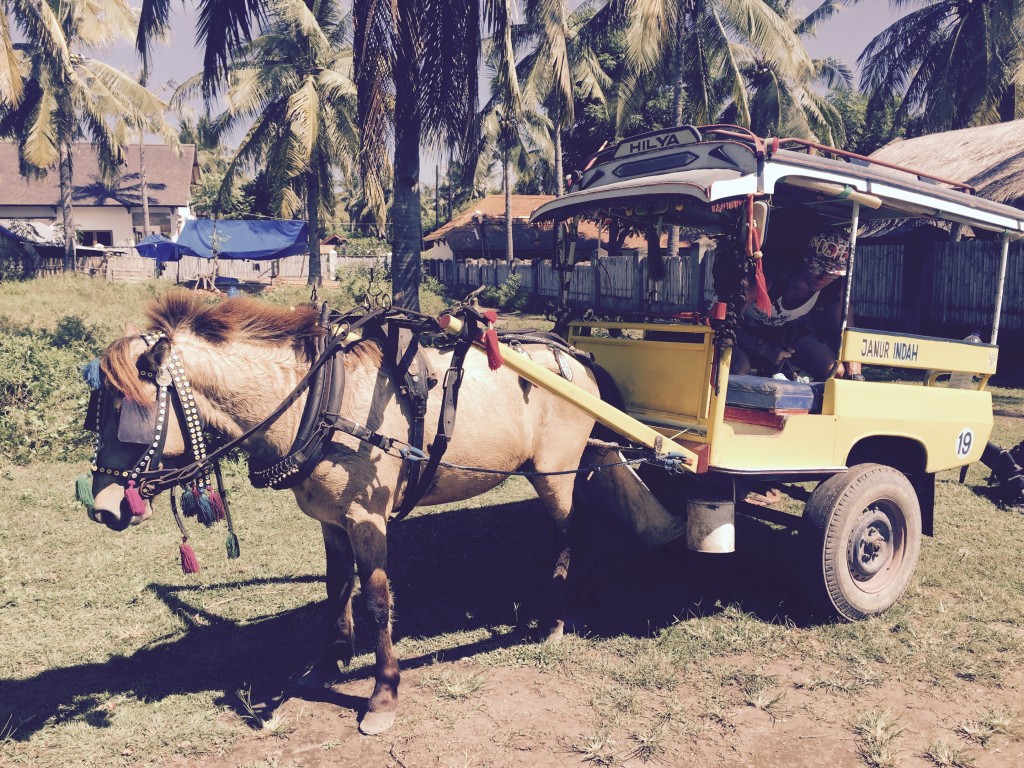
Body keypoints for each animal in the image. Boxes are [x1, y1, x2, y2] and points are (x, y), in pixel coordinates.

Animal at [88, 290, 602, 737]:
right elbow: (337, 588)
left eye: (130, 413)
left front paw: (383, 694)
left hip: (555, 472)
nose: (104, 508)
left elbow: (376, 603)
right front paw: (329, 661)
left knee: (568, 532)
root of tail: (576, 359)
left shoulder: (366, 518)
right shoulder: (330, 519)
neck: (317, 400)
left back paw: (554, 620)